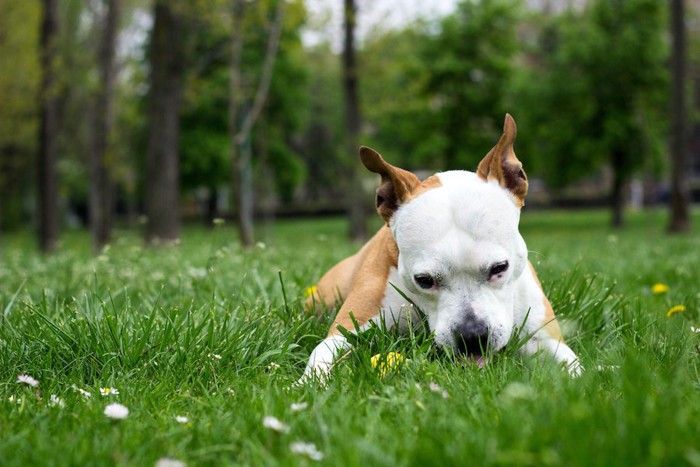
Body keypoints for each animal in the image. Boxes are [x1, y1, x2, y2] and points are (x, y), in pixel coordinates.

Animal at [300, 115, 580, 382]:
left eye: (500, 268)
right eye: (424, 280)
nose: (472, 335)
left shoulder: (546, 339)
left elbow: (575, 371)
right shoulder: (347, 328)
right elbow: (321, 355)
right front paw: (306, 384)